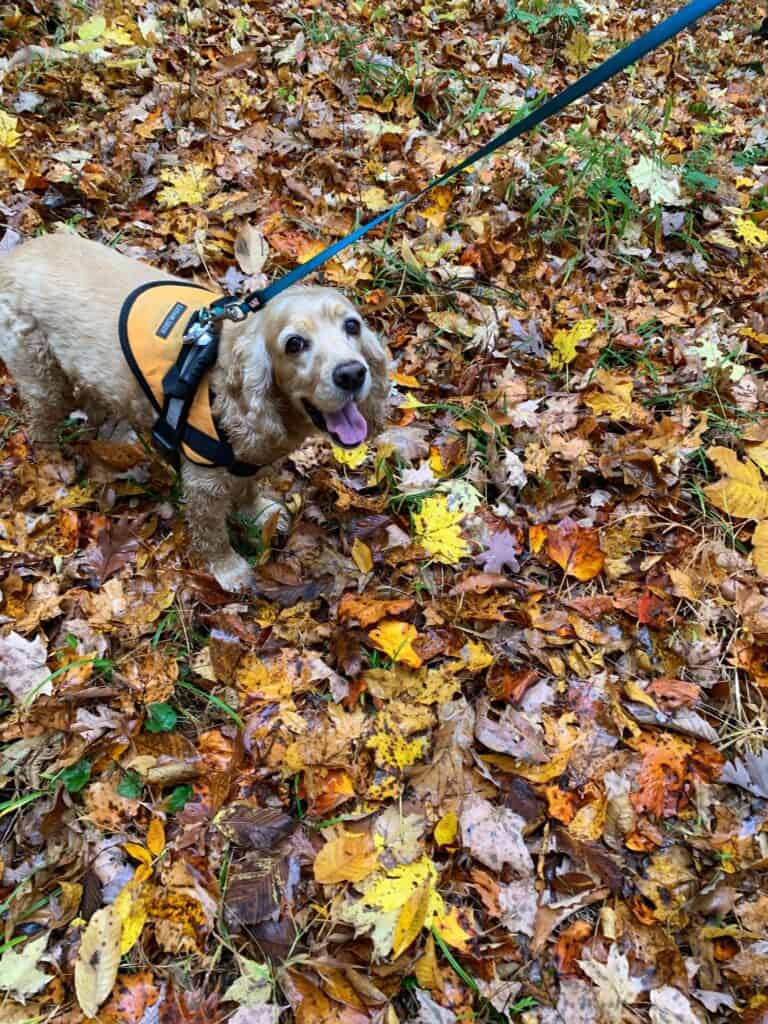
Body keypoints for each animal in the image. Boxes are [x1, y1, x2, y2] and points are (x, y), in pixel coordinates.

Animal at [0, 228, 391, 589]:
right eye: (294, 344)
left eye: (352, 325)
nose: (352, 374)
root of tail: (15, 256)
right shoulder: (204, 483)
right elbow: (212, 532)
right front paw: (229, 570)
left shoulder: (249, 461)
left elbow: (249, 490)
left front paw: (260, 513)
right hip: (43, 379)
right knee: (41, 426)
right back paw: (53, 468)